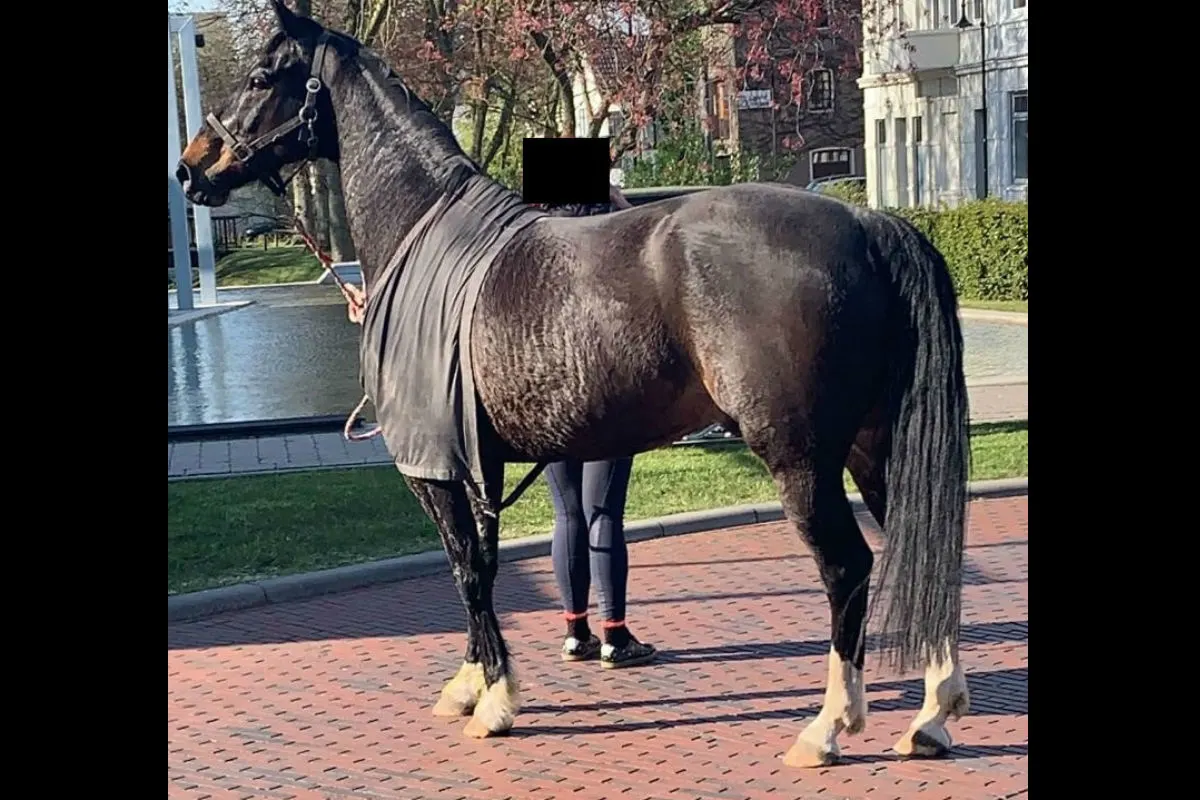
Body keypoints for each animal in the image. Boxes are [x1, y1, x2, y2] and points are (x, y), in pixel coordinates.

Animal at [176, 0, 971, 768]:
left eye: (260, 78)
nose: (191, 167)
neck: (422, 235)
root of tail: (868, 223)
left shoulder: (433, 466)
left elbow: (465, 570)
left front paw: (495, 701)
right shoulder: (480, 464)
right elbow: (483, 567)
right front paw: (472, 683)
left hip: (801, 459)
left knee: (847, 567)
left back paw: (828, 726)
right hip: (873, 448)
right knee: (923, 548)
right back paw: (931, 716)